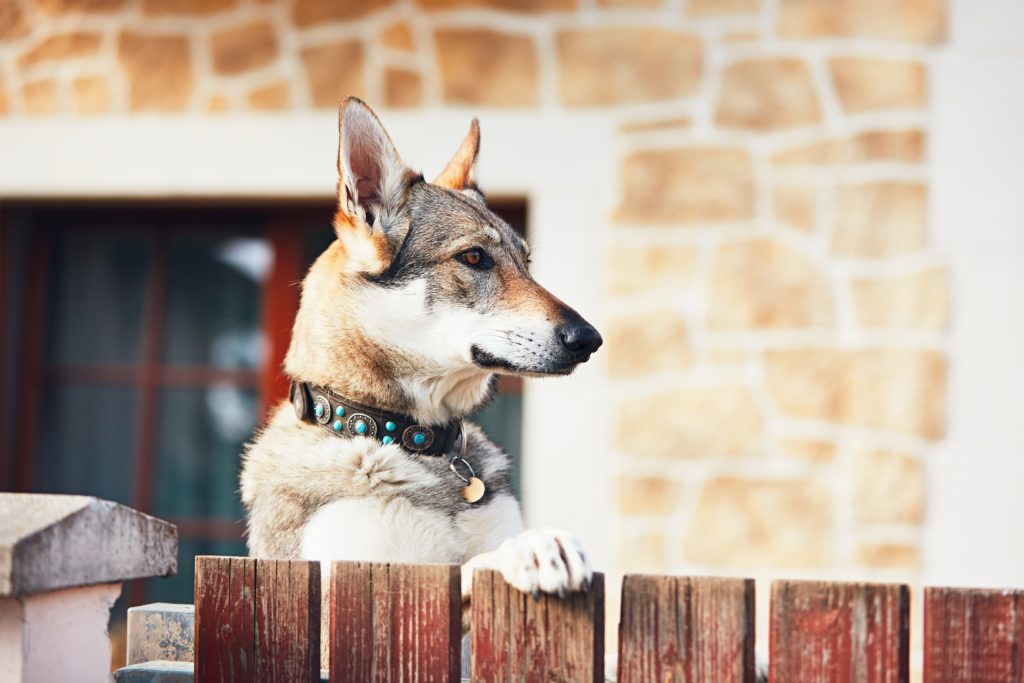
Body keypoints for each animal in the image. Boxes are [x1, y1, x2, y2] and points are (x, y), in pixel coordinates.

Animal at [240, 97, 602, 626]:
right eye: (473, 258)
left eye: (526, 263)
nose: (590, 339)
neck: (408, 439)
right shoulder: (357, 586)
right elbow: (470, 567)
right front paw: (534, 549)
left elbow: (478, 556)